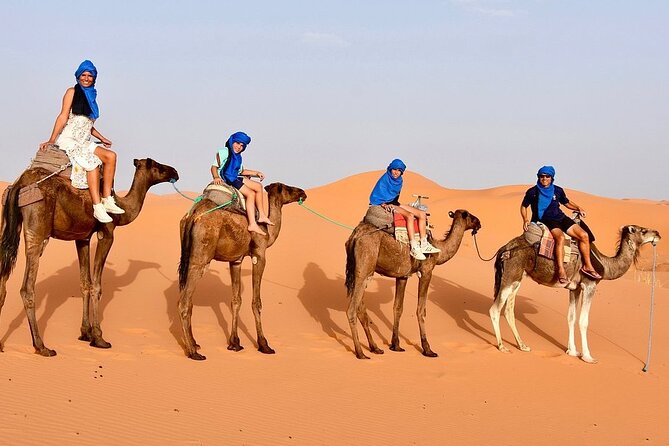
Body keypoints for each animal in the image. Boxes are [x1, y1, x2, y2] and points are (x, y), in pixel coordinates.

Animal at [0, 158, 179, 356]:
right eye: (157, 166)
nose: (175, 172)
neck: (122, 208)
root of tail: (19, 184)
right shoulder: (106, 233)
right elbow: (96, 286)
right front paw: (99, 338)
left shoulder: (82, 238)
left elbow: (85, 283)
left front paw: (85, 333)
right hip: (37, 229)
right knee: (27, 288)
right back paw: (41, 346)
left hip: (8, 223)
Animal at [177, 182, 307, 360]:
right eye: (287, 188)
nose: (303, 192)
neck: (268, 231)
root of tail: (192, 215)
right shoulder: (259, 255)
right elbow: (256, 302)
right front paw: (264, 345)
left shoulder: (236, 260)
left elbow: (236, 300)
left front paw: (234, 343)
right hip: (200, 259)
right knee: (184, 301)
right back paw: (193, 352)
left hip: (187, 256)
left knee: (187, 298)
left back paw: (194, 343)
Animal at [344, 209, 482, 359]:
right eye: (469, 216)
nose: (479, 223)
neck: (439, 249)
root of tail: (355, 236)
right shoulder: (426, 271)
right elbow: (421, 310)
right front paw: (428, 349)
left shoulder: (403, 275)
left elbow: (398, 308)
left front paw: (396, 345)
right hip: (364, 268)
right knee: (352, 309)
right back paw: (360, 353)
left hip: (359, 272)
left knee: (361, 309)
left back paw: (375, 348)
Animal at [490, 224, 661, 363]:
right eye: (643, 230)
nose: (658, 234)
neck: (605, 265)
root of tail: (503, 248)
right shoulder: (590, 285)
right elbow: (583, 321)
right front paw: (588, 357)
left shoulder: (575, 289)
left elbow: (570, 318)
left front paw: (572, 351)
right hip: (510, 275)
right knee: (495, 309)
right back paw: (502, 347)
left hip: (517, 278)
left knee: (509, 310)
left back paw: (523, 346)